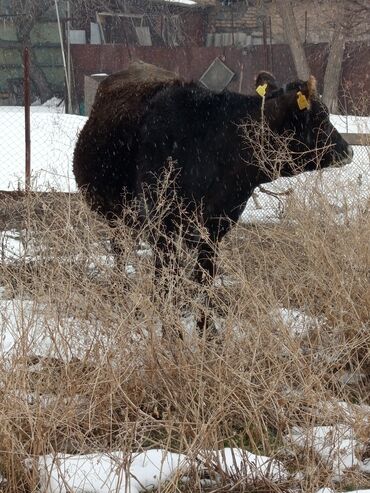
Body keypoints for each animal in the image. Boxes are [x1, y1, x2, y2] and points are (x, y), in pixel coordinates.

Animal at [72, 66, 352, 290]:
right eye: (321, 116)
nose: (348, 150)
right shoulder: (163, 228)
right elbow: (164, 284)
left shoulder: (215, 228)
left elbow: (204, 281)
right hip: (118, 218)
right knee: (120, 252)